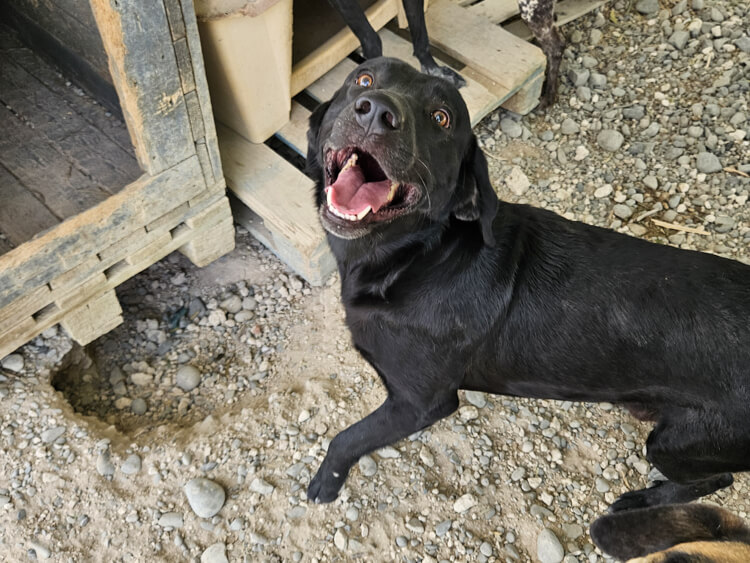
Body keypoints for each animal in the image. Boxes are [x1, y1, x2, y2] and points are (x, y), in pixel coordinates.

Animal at [304, 58, 750, 512]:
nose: (376, 111)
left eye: (441, 118)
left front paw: (326, 481)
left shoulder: (420, 403)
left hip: (682, 443)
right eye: (364, 78)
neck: (418, 258)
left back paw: (642, 501)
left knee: (717, 478)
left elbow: (346, 439)